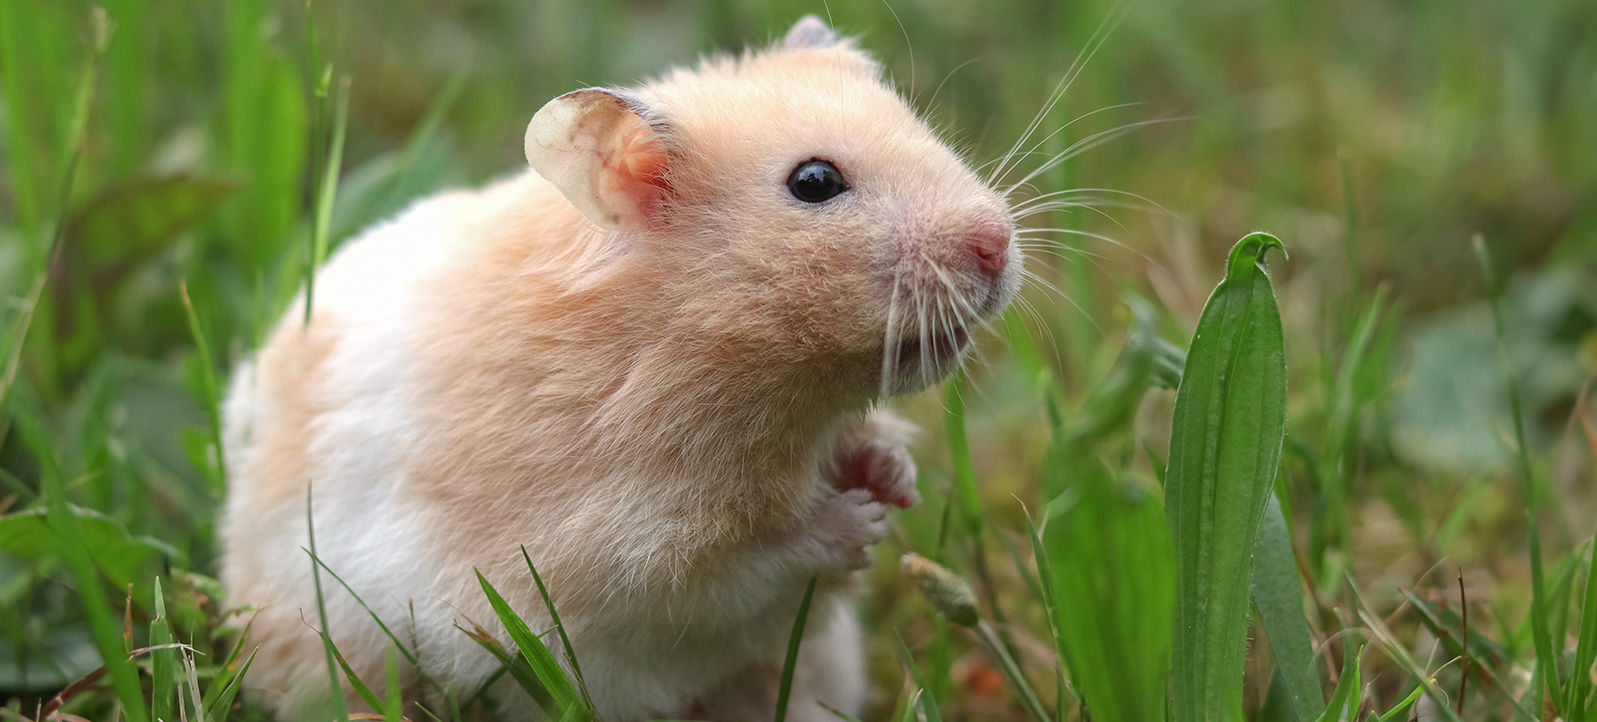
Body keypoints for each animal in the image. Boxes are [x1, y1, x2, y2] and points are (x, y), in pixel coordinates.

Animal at [219, 15, 1019, 722]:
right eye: (815, 181)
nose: (998, 244)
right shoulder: (622, 567)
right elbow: (750, 573)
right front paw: (863, 523)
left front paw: (894, 478)